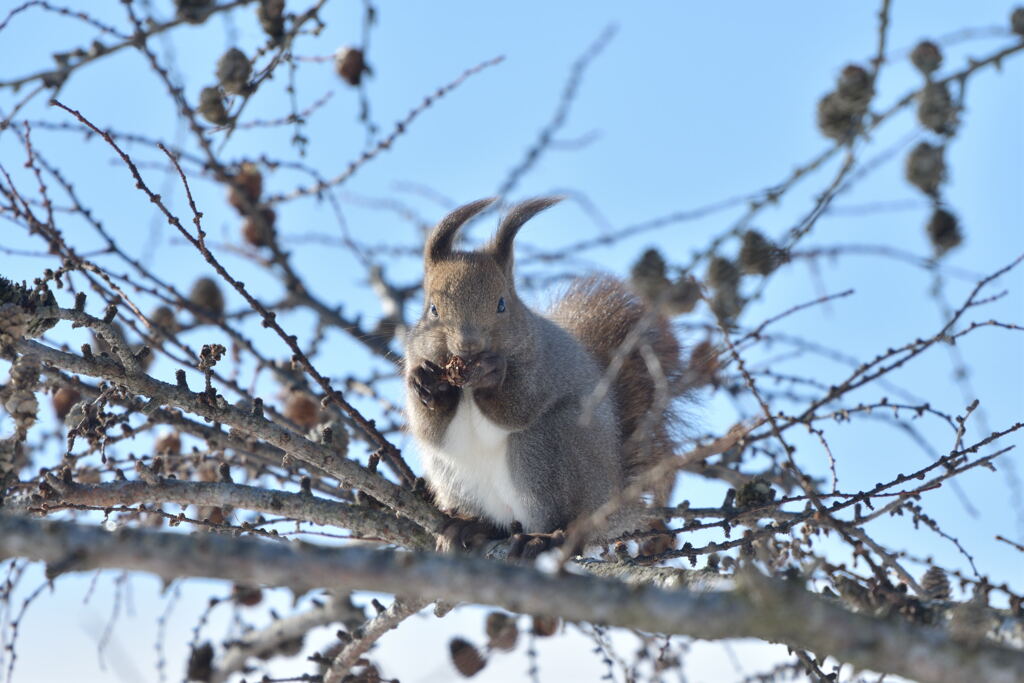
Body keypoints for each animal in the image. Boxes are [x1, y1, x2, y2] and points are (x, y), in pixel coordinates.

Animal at [403, 196, 684, 557]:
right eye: (432, 309)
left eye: (502, 304)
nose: (468, 345)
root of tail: (609, 504)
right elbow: (430, 430)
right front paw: (427, 384)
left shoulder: (541, 368)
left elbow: (518, 408)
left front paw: (493, 374)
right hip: (451, 475)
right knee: (488, 517)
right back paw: (470, 525)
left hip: (547, 452)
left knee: (558, 516)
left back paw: (545, 537)